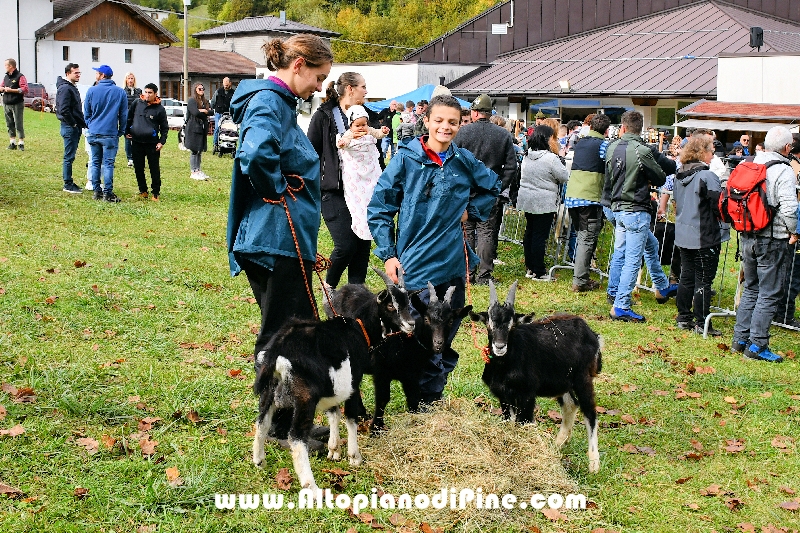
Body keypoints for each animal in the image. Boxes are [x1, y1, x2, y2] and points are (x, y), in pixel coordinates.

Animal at [253, 316, 372, 490]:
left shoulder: (332, 387)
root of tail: (276, 352)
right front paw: (354, 457)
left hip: (269, 390)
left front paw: (334, 450)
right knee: (296, 437)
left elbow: (334, 414)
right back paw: (311, 487)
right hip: (305, 398)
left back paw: (259, 461)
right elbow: (350, 418)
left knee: (262, 423)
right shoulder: (353, 384)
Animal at [468, 280, 600, 472]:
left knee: (590, 412)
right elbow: (510, 422)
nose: (500, 346)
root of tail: (592, 334)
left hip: (583, 379)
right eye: (489, 323)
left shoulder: (527, 395)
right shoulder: (504, 396)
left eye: (512, 324)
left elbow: (524, 422)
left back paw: (594, 464)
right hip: (563, 381)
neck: (505, 366)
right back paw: (557, 445)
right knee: (571, 405)